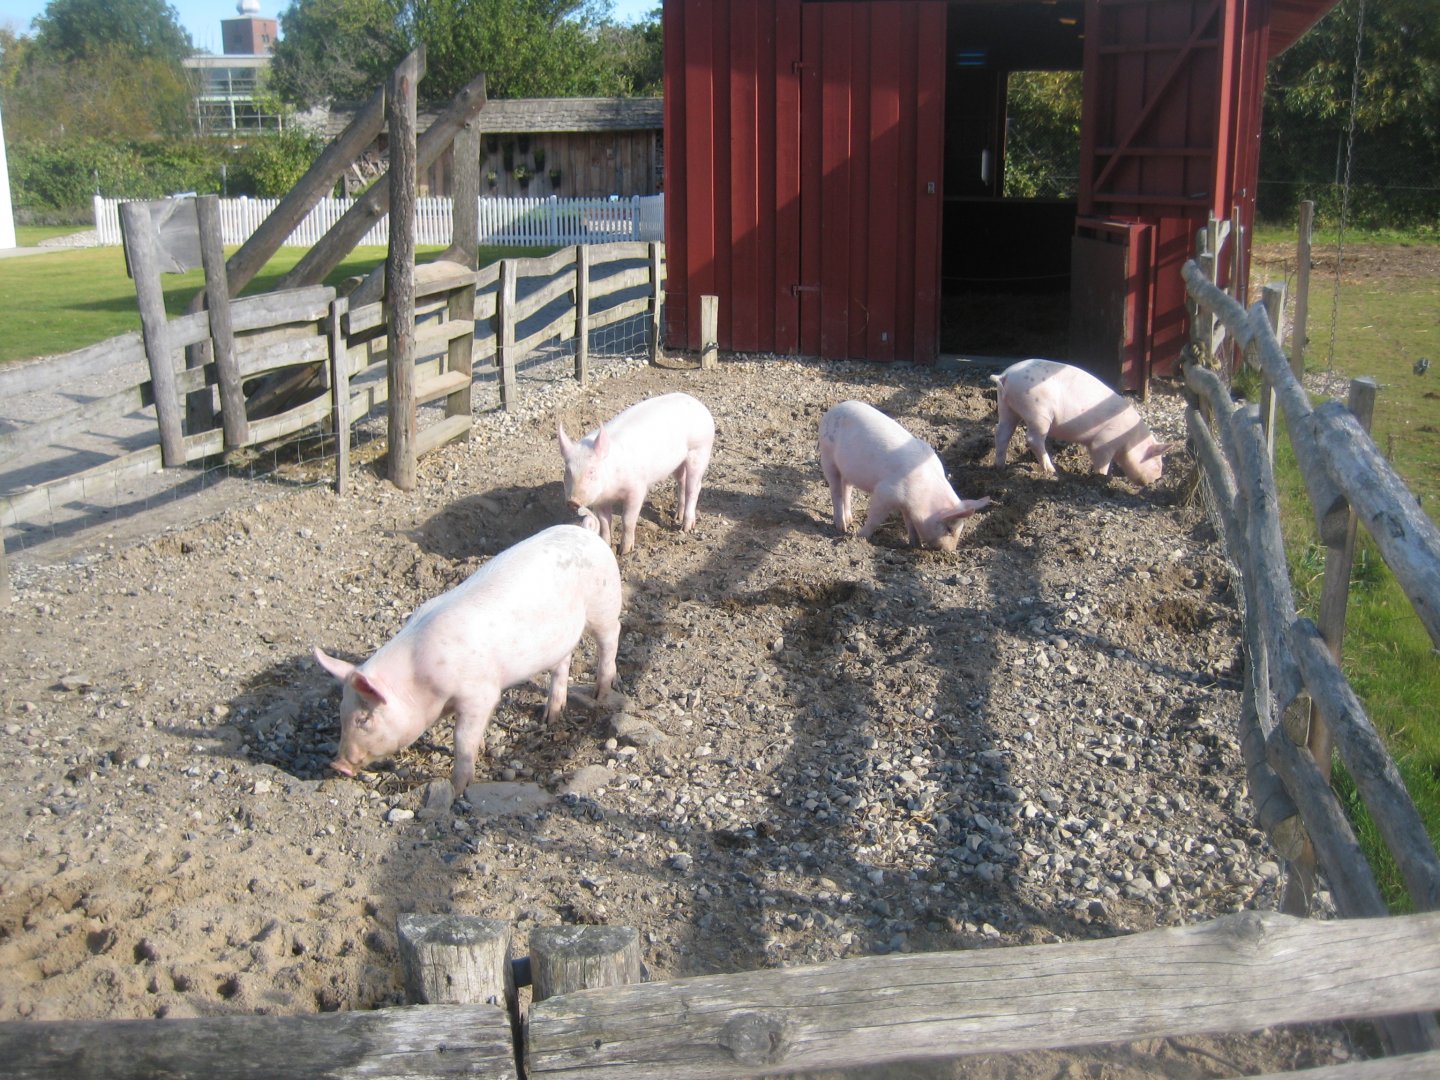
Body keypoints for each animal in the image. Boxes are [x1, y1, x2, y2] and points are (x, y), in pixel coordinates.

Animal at [313, 524, 621, 799]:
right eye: (341, 711)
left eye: (364, 718)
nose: (337, 765)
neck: (421, 681)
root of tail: (587, 532)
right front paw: (480, 749)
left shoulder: (480, 693)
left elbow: (462, 739)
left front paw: (457, 789)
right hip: (561, 637)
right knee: (562, 663)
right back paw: (550, 717)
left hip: (604, 604)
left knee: (611, 638)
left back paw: (601, 694)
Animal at [557, 392, 715, 555]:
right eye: (567, 471)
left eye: (591, 471)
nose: (572, 501)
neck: (612, 489)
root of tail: (697, 403)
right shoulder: (601, 499)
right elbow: (604, 521)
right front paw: (607, 545)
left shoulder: (637, 489)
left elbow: (628, 519)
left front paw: (625, 551)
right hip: (678, 463)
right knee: (681, 482)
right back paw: (677, 516)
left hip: (700, 450)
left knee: (694, 488)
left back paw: (686, 527)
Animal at [817, 399, 991, 553]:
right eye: (949, 529)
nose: (951, 551)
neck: (925, 494)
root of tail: (833, 409)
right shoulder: (885, 492)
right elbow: (875, 519)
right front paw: (859, 536)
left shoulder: (907, 506)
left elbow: (910, 524)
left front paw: (915, 546)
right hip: (827, 455)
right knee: (835, 491)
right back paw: (842, 527)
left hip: (847, 469)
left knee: (846, 487)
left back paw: (850, 519)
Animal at [992, 358, 1170, 485]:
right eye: (1157, 463)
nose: (1155, 480)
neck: (1130, 438)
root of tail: (1005, 376)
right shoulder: (1104, 441)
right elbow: (1102, 461)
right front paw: (1101, 478)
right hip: (1038, 413)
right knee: (1032, 439)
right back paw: (1052, 470)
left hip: (1006, 406)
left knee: (1002, 433)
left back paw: (1000, 467)